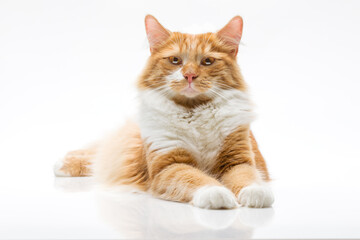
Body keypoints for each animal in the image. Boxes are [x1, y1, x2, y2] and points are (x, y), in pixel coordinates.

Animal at [53, 15, 274, 208]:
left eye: (207, 61)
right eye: (175, 60)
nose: (189, 75)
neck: (194, 111)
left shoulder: (238, 159)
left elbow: (246, 177)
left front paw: (256, 193)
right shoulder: (169, 164)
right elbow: (197, 178)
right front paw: (217, 194)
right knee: (97, 153)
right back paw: (63, 163)